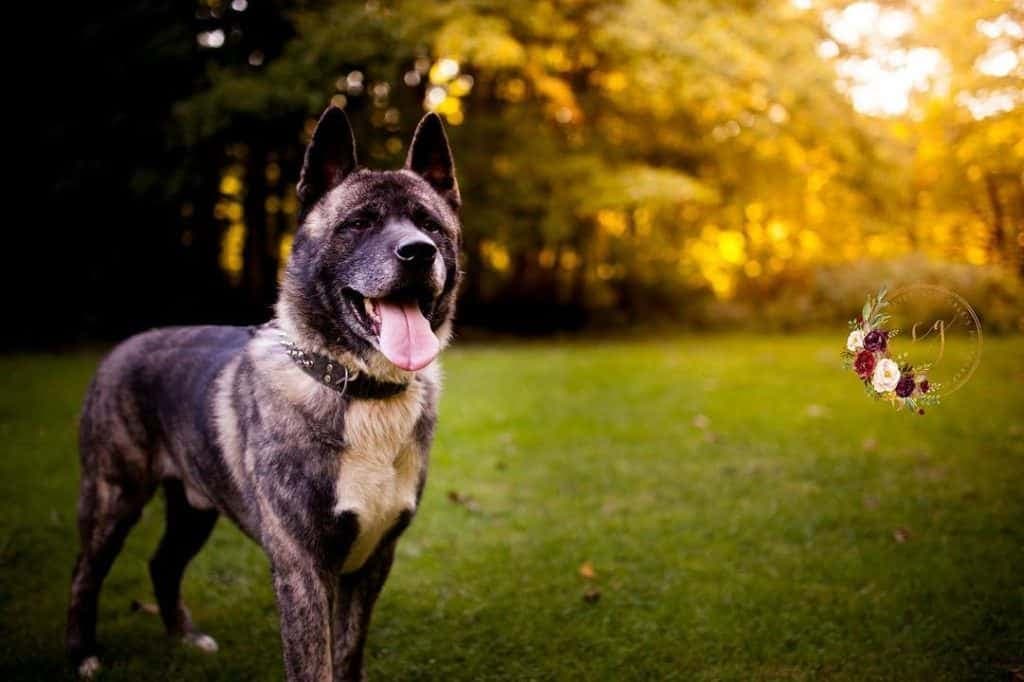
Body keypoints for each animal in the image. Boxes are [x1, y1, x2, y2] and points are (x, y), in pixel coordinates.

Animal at [66, 109, 462, 675]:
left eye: (430, 225)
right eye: (358, 223)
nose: (418, 252)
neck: (353, 385)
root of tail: (124, 346)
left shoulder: (372, 562)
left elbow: (348, 655)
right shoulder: (303, 571)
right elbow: (315, 665)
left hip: (194, 504)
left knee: (163, 562)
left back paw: (186, 636)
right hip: (112, 497)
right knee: (85, 572)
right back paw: (83, 655)